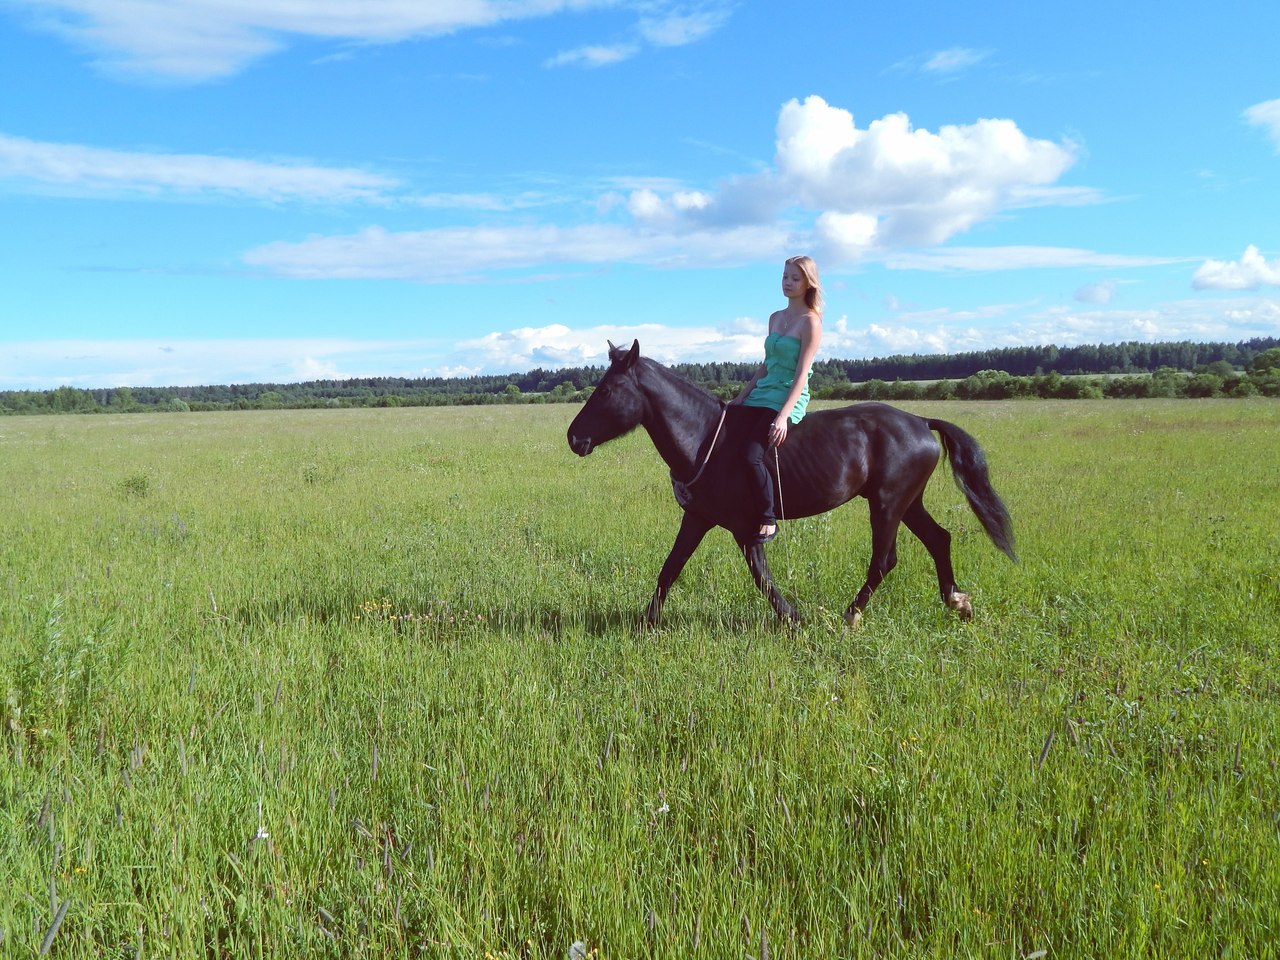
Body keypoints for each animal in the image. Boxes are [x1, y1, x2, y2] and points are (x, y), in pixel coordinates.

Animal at [565, 343, 1013, 627]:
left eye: (607, 390)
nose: (574, 438)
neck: (706, 440)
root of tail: (920, 422)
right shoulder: (697, 518)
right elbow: (670, 568)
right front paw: (646, 621)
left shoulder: (744, 527)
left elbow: (761, 577)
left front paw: (793, 618)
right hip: (907, 502)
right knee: (940, 539)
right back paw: (957, 602)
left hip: (887, 504)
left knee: (884, 561)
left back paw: (851, 615)